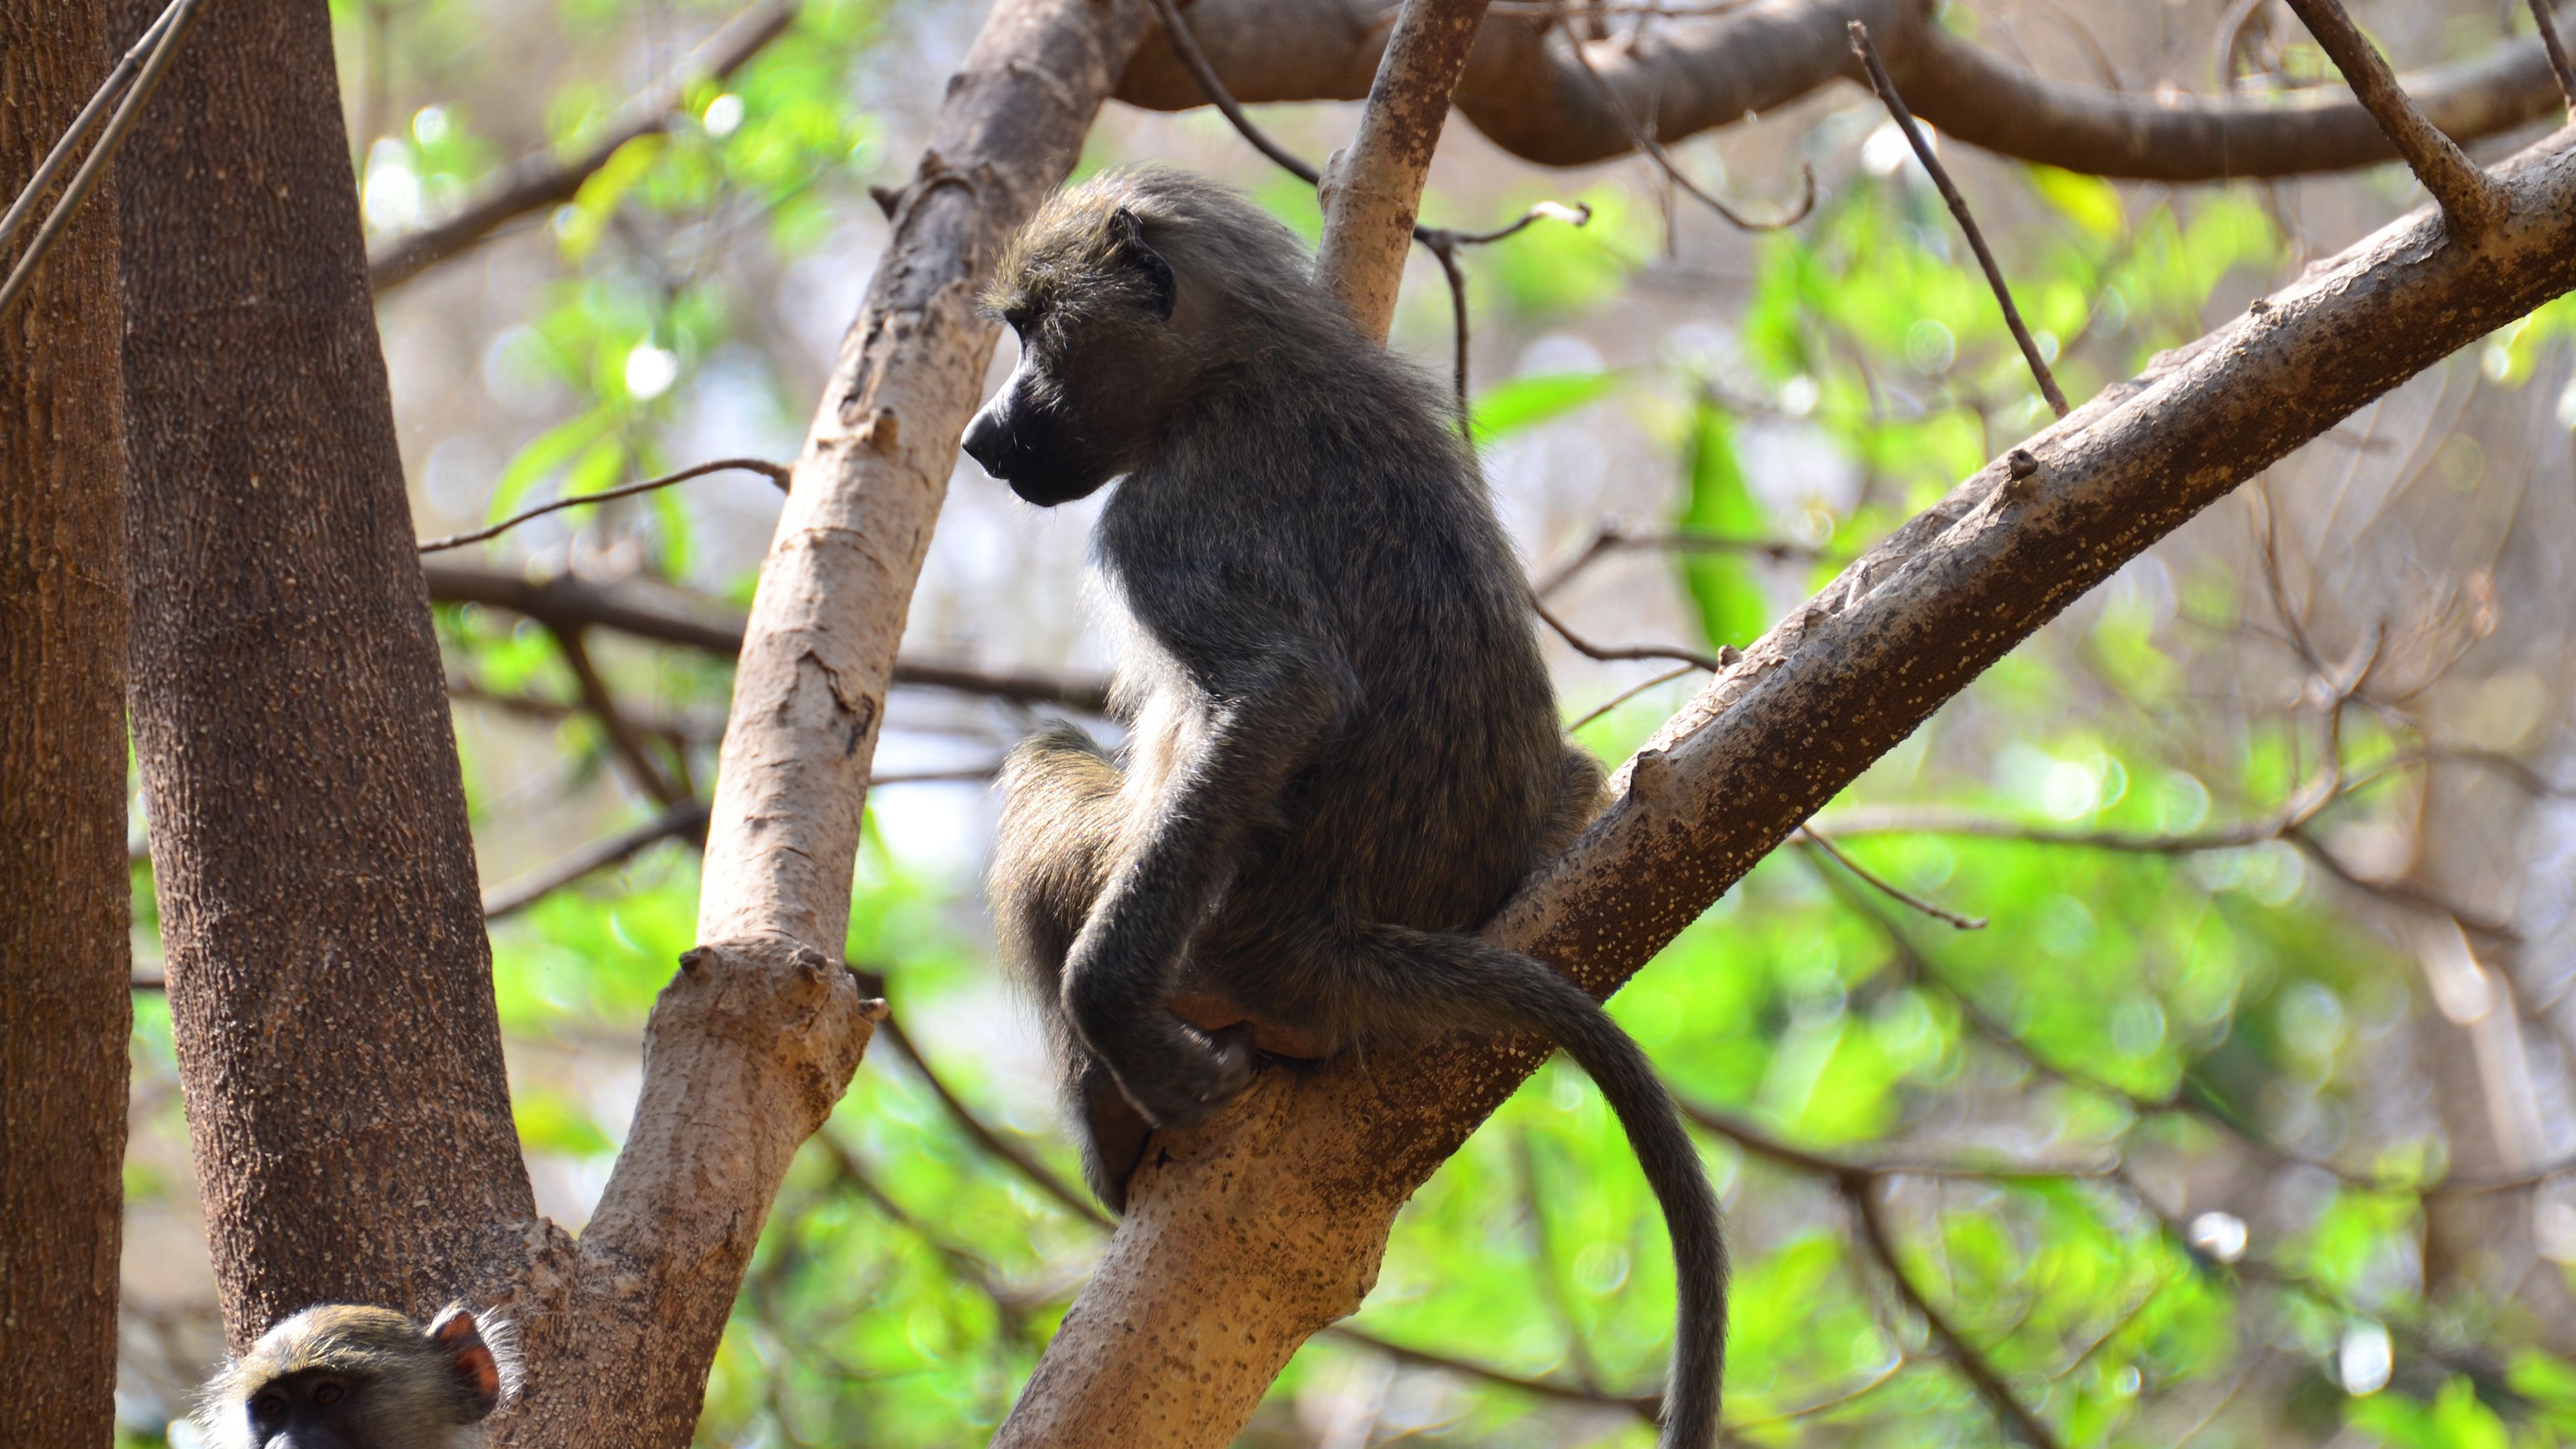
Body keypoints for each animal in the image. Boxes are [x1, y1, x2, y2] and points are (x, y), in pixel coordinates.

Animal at [963, 167, 1726, 1449]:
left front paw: (1108, 1011)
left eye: (1028, 331)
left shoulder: (1161, 519)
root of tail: (1327, 940)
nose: (978, 435)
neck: (1241, 361)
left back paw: (1115, 1133)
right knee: (1567, 781)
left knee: (1045, 782)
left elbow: (1286, 692)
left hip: (1211, 948)